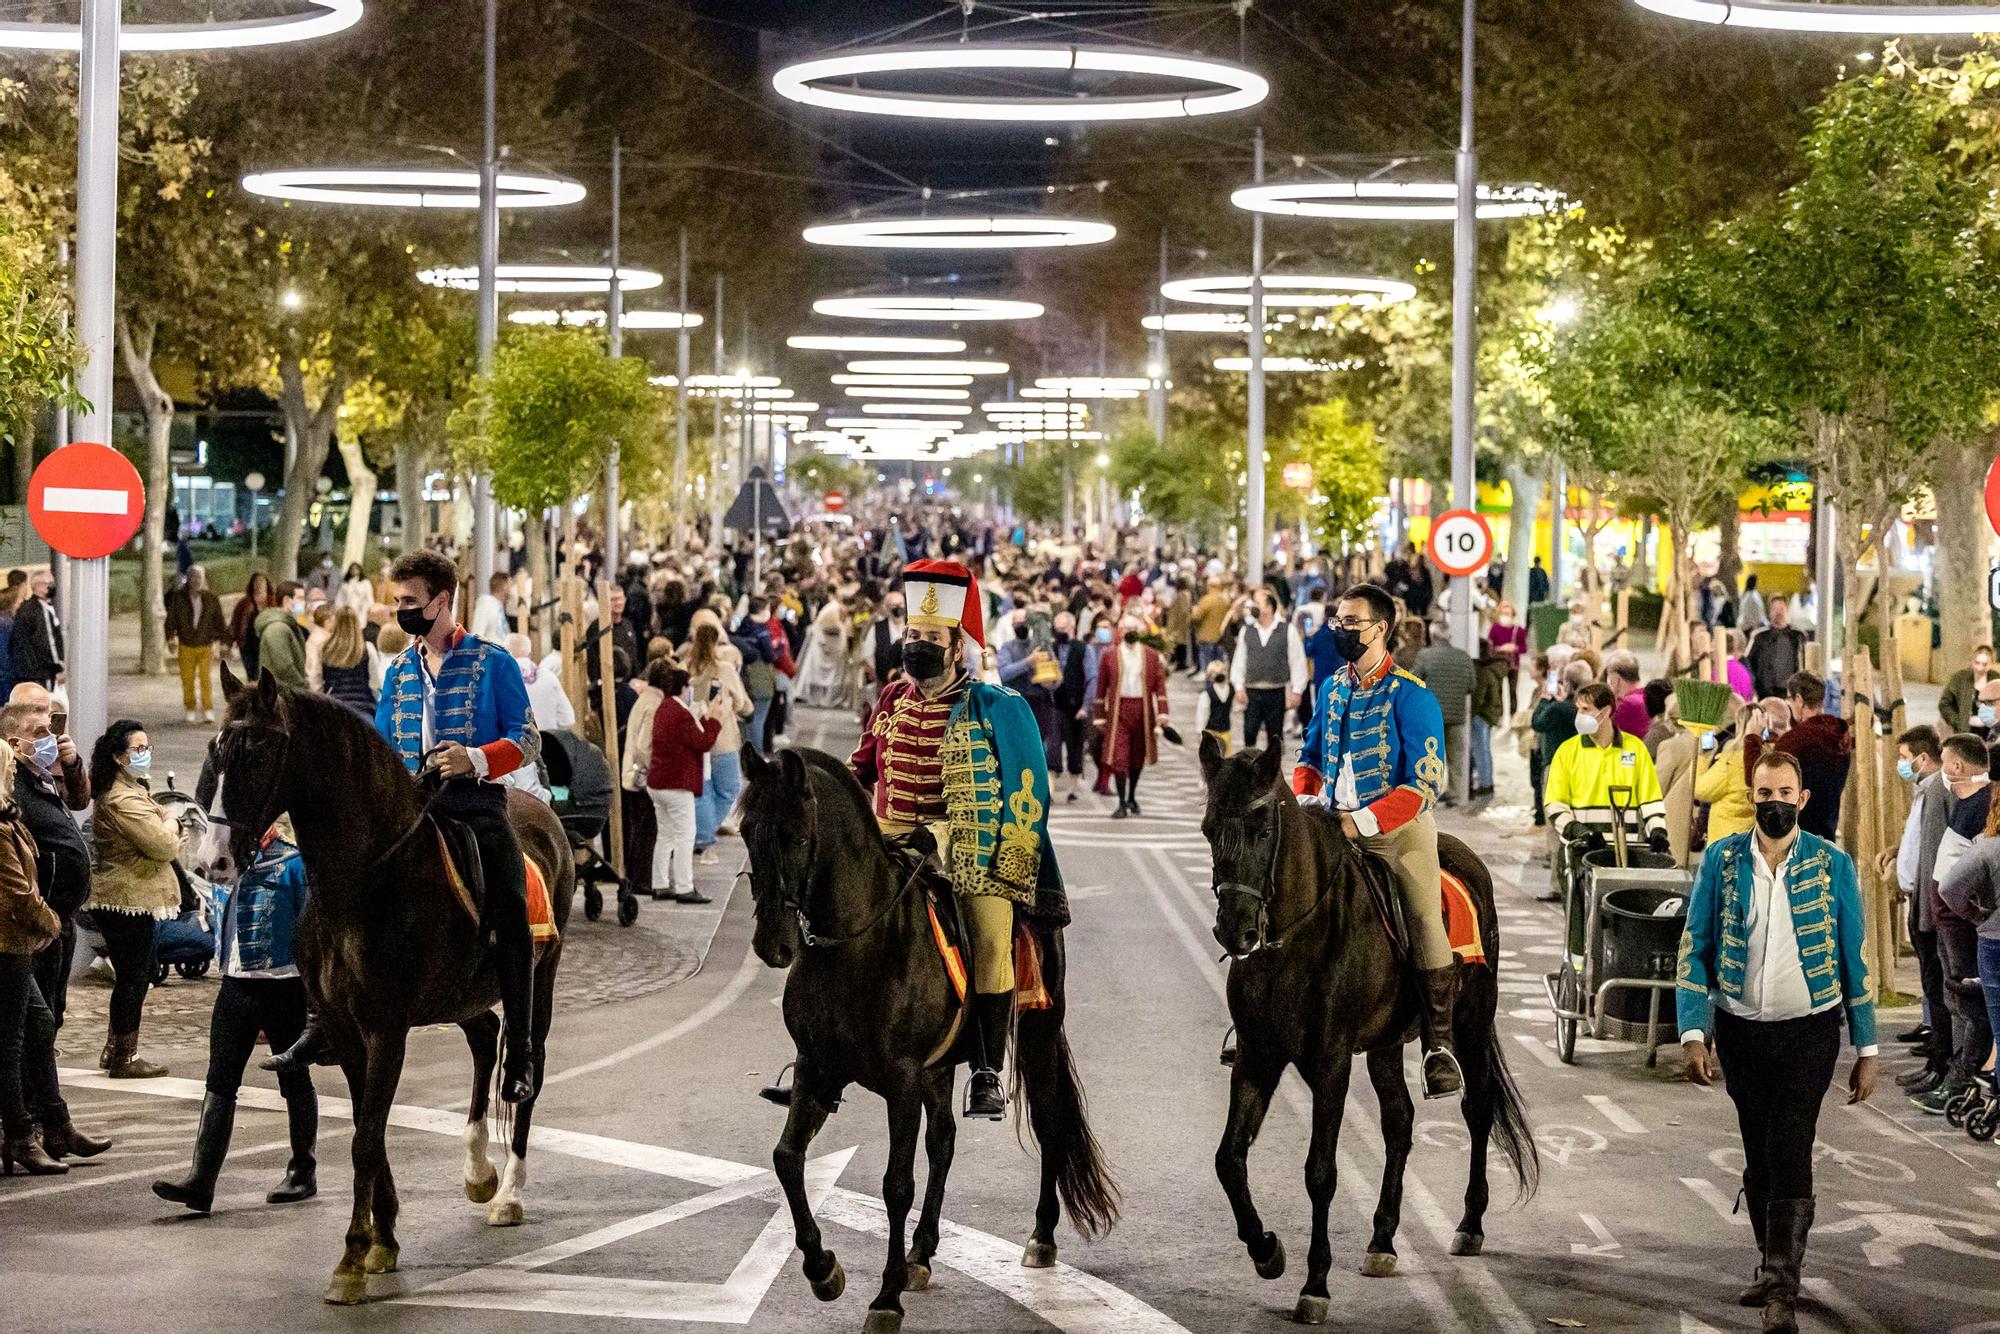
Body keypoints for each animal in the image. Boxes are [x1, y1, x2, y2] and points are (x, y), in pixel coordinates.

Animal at [196, 668, 576, 1304]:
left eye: (259, 753)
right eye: (215, 751)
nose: (214, 861)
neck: (361, 881)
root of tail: (542, 812)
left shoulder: (386, 1029)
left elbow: (366, 1139)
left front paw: (352, 1257)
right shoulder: (348, 1030)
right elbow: (366, 1132)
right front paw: (383, 1239)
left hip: (536, 976)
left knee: (528, 1063)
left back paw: (508, 1192)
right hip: (459, 994)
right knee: (484, 1036)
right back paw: (477, 1169)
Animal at [740, 748, 1120, 1334]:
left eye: (797, 835)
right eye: (744, 831)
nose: (772, 945)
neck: (859, 944)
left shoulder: (900, 1080)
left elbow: (896, 1185)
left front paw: (885, 1297)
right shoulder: (816, 1069)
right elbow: (786, 1158)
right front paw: (823, 1269)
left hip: (1036, 1036)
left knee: (1050, 1124)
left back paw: (1040, 1236)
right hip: (938, 1070)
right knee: (943, 1142)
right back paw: (921, 1253)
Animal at [1192, 736, 1536, 1328]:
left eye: (1262, 830)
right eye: (1210, 828)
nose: (1234, 930)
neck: (1296, 938)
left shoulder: (1329, 1063)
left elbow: (1320, 1172)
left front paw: (1315, 1285)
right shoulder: (1258, 1056)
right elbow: (1228, 1159)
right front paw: (1266, 1251)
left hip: (1471, 1024)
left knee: (1477, 1110)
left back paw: (1469, 1225)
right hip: (1384, 1045)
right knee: (1400, 1123)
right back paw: (1382, 1240)